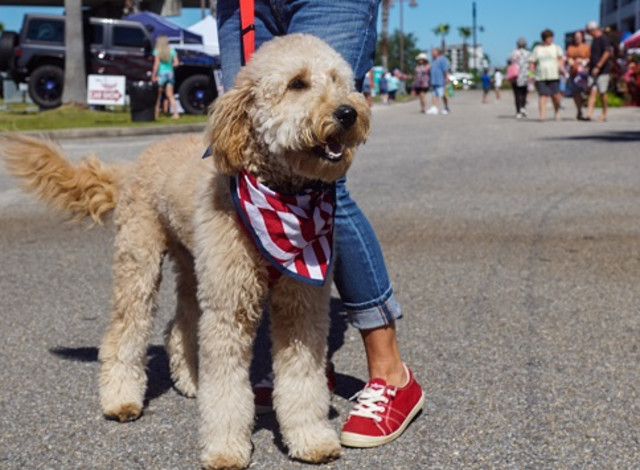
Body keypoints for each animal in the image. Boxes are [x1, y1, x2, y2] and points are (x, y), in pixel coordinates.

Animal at [1, 35, 370, 468]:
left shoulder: (302, 305)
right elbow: (226, 386)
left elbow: (303, 377)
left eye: (339, 80)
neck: (278, 198)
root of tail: (133, 164)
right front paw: (226, 448)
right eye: (298, 83)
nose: (348, 112)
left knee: (179, 326)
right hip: (139, 260)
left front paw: (310, 438)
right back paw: (121, 399)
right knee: (125, 329)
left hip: (195, 266)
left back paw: (191, 381)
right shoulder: (229, 309)